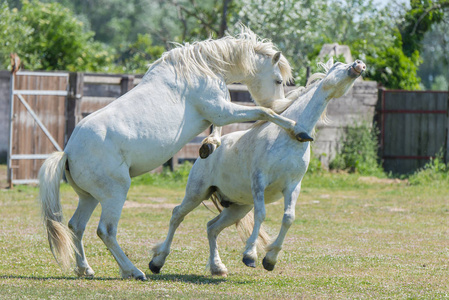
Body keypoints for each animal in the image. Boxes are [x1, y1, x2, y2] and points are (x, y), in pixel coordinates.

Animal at [38, 28, 308, 282]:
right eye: (278, 80)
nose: (281, 104)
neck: (202, 68)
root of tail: (68, 153)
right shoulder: (222, 110)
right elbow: (262, 112)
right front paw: (298, 130)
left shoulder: (218, 113)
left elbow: (222, 128)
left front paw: (209, 145)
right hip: (115, 193)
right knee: (105, 230)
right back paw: (134, 271)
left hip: (90, 197)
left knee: (76, 226)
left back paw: (86, 269)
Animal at [149, 58, 366, 276]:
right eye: (337, 64)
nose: (359, 64)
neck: (288, 137)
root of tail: (205, 154)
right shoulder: (259, 181)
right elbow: (261, 214)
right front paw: (250, 255)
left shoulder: (293, 186)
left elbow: (289, 218)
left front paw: (270, 259)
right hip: (197, 193)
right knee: (177, 215)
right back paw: (157, 262)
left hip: (238, 207)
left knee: (212, 227)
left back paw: (217, 267)